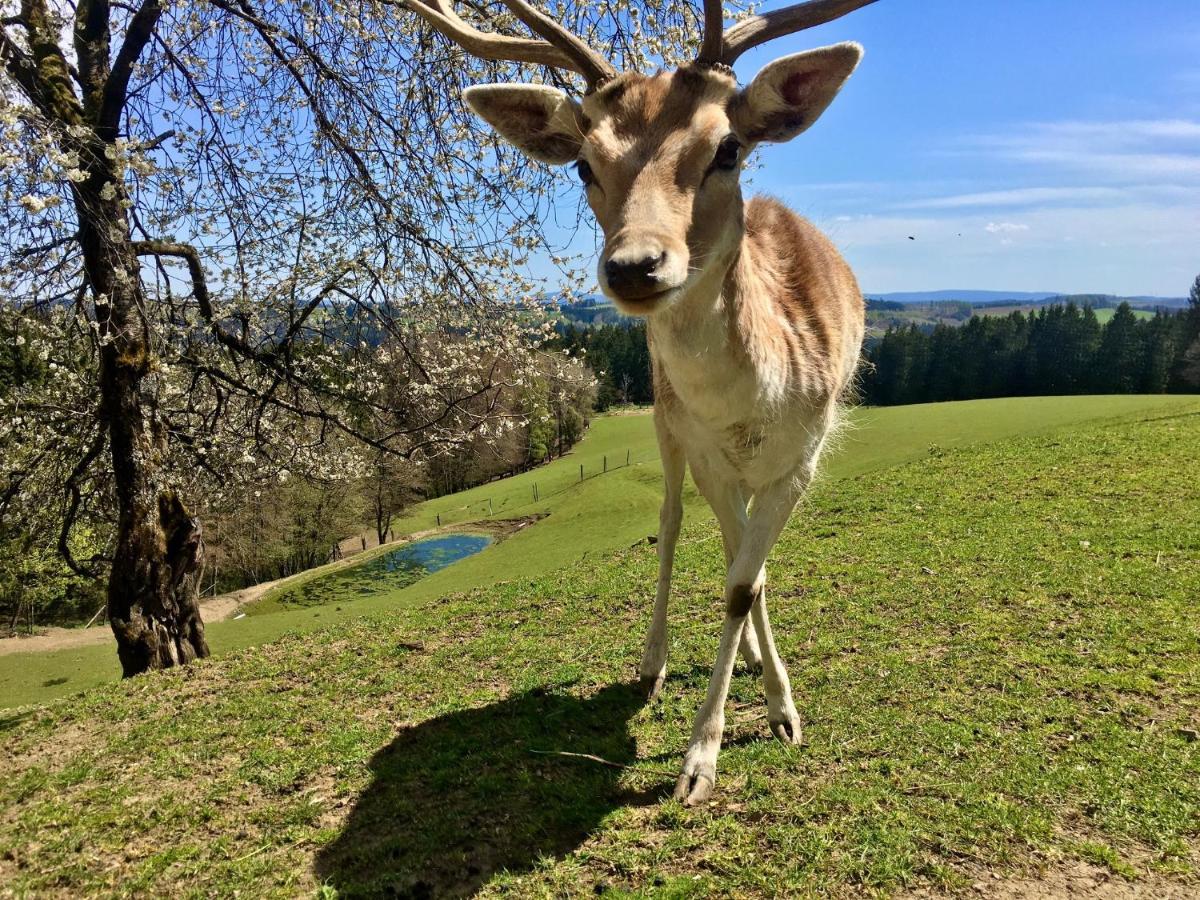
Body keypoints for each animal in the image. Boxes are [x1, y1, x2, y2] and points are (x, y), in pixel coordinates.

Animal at [408, 0, 878, 806]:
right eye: (582, 163)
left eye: (728, 148)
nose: (635, 265)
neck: (754, 406)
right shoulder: (707, 449)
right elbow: (736, 578)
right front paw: (704, 758)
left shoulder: (806, 456)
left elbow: (743, 582)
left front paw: (776, 714)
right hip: (665, 423)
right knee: (674, 521)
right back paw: (655, 662)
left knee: (738, 556)